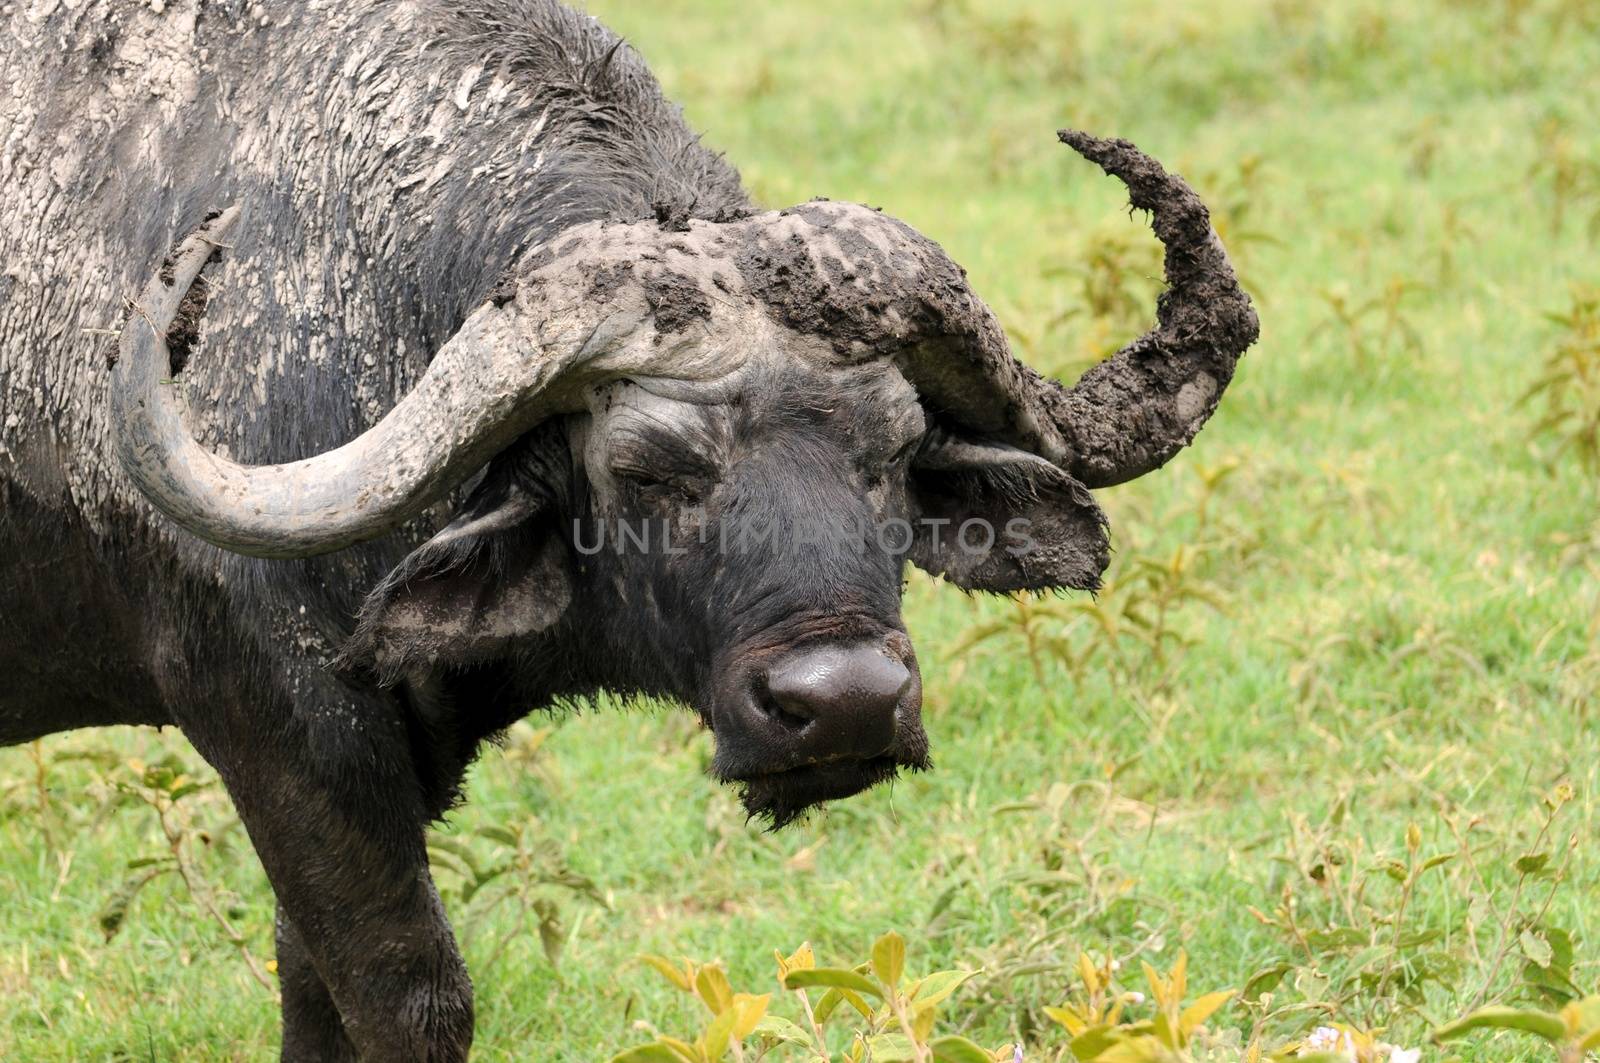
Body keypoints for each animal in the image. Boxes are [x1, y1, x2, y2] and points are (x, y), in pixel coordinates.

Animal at [0, 0, 1254, 1056]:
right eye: (647, 470)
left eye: (893, 456)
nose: (844, 701)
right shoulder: (285, 734)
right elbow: (411, 995)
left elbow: (313, 991)